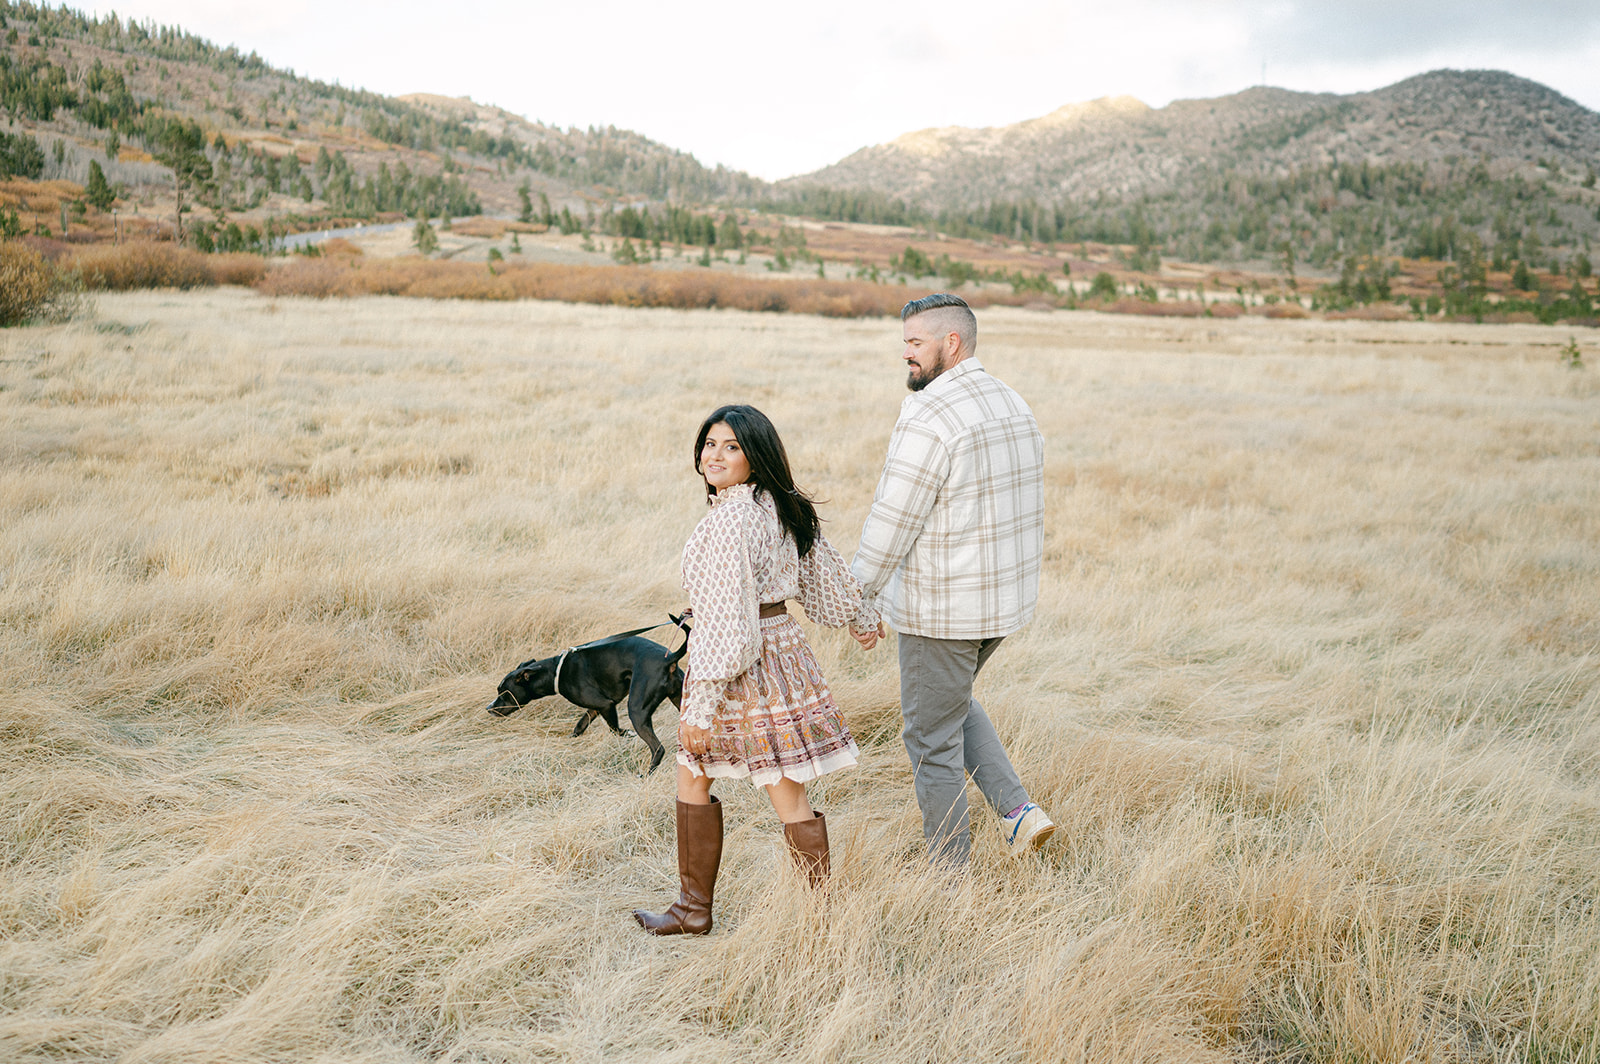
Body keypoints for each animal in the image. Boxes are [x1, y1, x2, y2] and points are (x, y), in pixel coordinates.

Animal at [486, 614, 688, 771]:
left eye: (503, 692)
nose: (489, 708)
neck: (556, 671)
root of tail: (669, 658)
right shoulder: (596, 707)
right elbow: (580, 726)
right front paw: (571, 740)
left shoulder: (606, 705)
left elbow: (615, 729)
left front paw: (628, 734)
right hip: (679, 699)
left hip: (637, 710)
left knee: (658, 748)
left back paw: (645, 774)